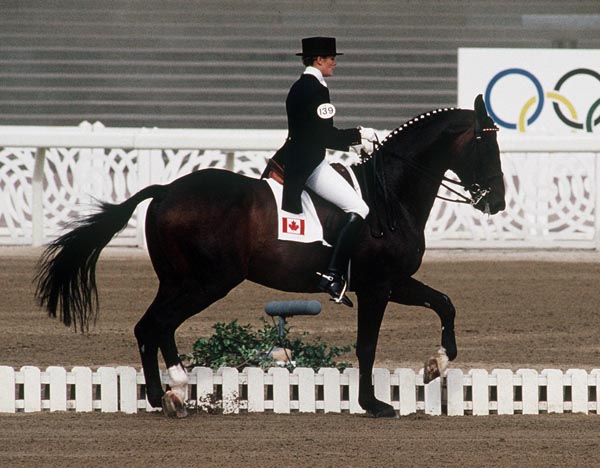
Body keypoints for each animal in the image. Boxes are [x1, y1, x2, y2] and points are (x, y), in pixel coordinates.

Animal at [36, 94, 506, 416]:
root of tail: (166, 190)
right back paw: (172, 392)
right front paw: (374, 404)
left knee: (152, 326)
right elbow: (367, 344)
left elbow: (445, 303)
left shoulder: (394, 282)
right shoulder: (377, 287)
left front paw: (437, 363)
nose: (497, 202)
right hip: (207, 282)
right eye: (486, 146)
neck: (389, 195)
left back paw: (169, 392)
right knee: (158, 324)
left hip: (179, 281)